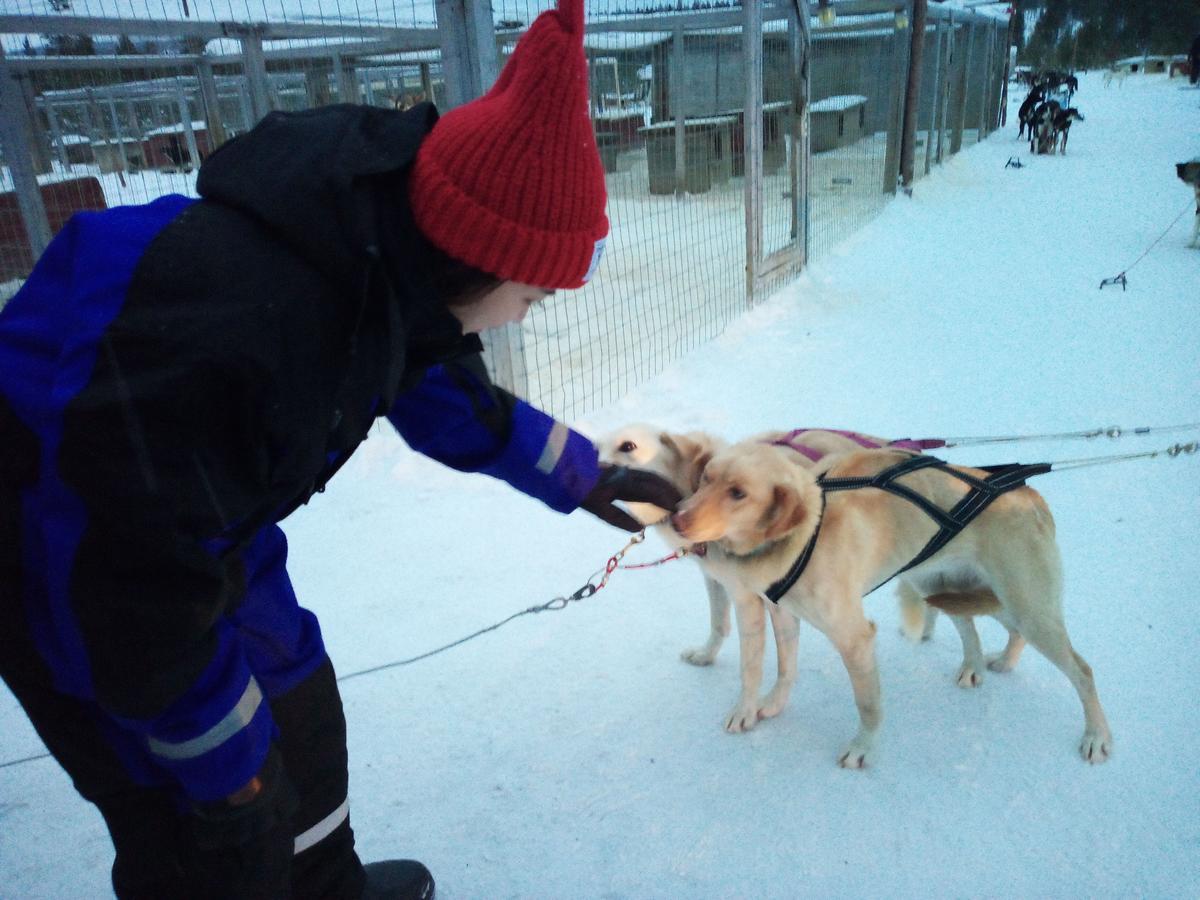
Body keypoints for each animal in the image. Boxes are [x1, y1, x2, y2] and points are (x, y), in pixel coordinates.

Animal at [672, 441, 1108, 772]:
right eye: (707, 477)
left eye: (738, 493)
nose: (677, 518)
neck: (806, 531)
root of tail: (1028, 493)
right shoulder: (781, 612)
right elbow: (778, 669)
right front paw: (766, 706)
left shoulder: (855, 638)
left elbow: (867, 704)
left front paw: (863, 748)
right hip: (944, 586)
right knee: (978, 624)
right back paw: (985, 663)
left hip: (1026, 605)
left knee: (1082, 670)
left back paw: (1097, 735)